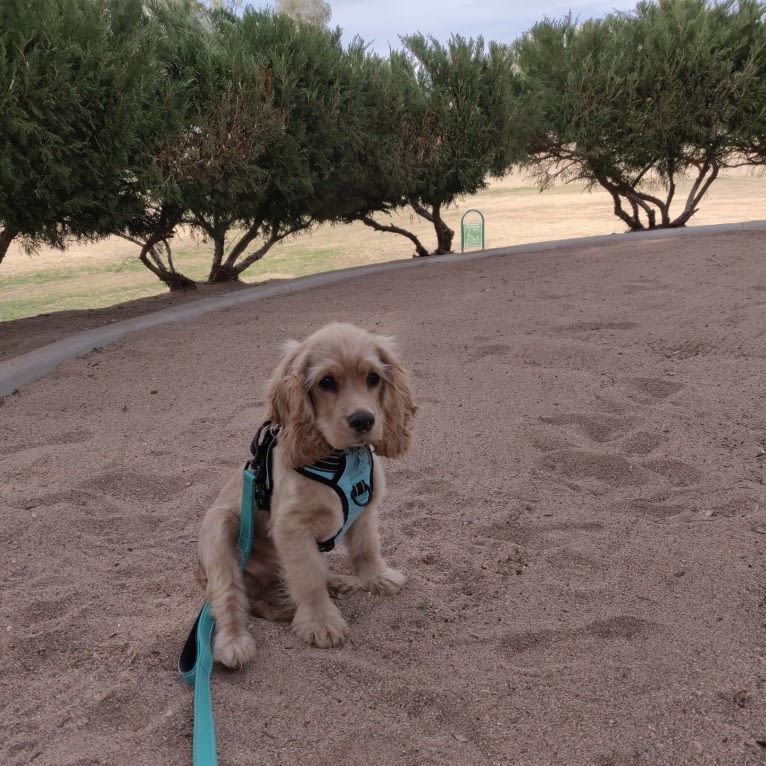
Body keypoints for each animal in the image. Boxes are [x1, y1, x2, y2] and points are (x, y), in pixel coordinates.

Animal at [195, 320, 416, 668]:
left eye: (373, 378)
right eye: (326, 382)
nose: (364, 420)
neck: (341, 458)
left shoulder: (365, 511)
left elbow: (367, 548)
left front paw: (378, 577)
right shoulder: (293, 528)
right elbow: (308, 579)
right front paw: (321, 624)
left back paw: (338, 581)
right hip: (218, 527)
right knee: (229, 596)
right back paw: (234, 642)